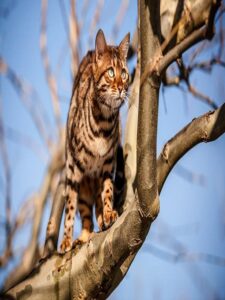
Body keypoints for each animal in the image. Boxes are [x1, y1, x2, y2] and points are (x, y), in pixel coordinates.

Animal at [60, 29, 130, 252]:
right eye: (110, 72)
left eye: (124, 74)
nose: (121, 87)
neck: (103, 123)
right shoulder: (73, 170)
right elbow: (70, 207)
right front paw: (66, 239)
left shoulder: (107, 165)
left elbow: (107, 192)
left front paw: (108, 213)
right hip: (82, 184)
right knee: (83, 215)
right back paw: (81, 237)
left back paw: (101, 219)